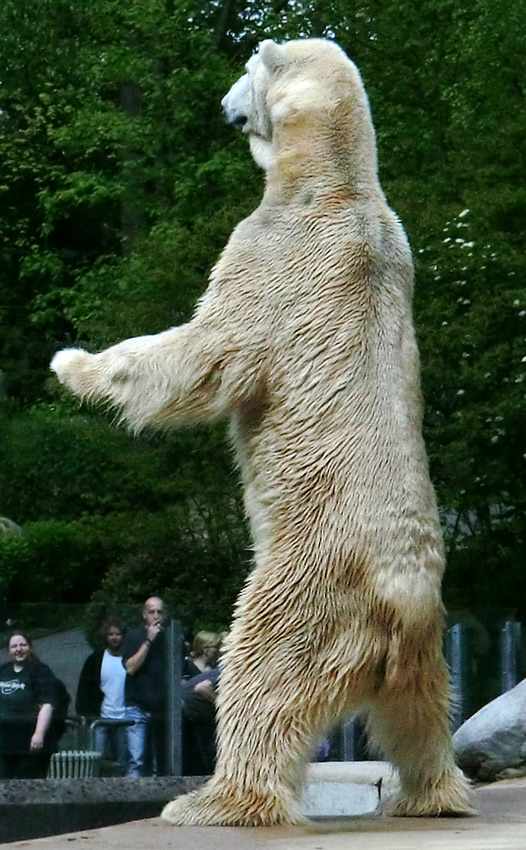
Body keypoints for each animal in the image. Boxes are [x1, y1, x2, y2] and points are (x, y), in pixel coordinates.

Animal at [51, 39, 476, 820]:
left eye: (246, 71)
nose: (224, 107)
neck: (335, 183)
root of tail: (400, 602)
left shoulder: (270, 255)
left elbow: (207, 352)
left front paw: (73, 363)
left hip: (303, 593)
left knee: (258, 674)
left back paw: (209, 799)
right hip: (424, 648)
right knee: (422, 717)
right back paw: (431, 795)